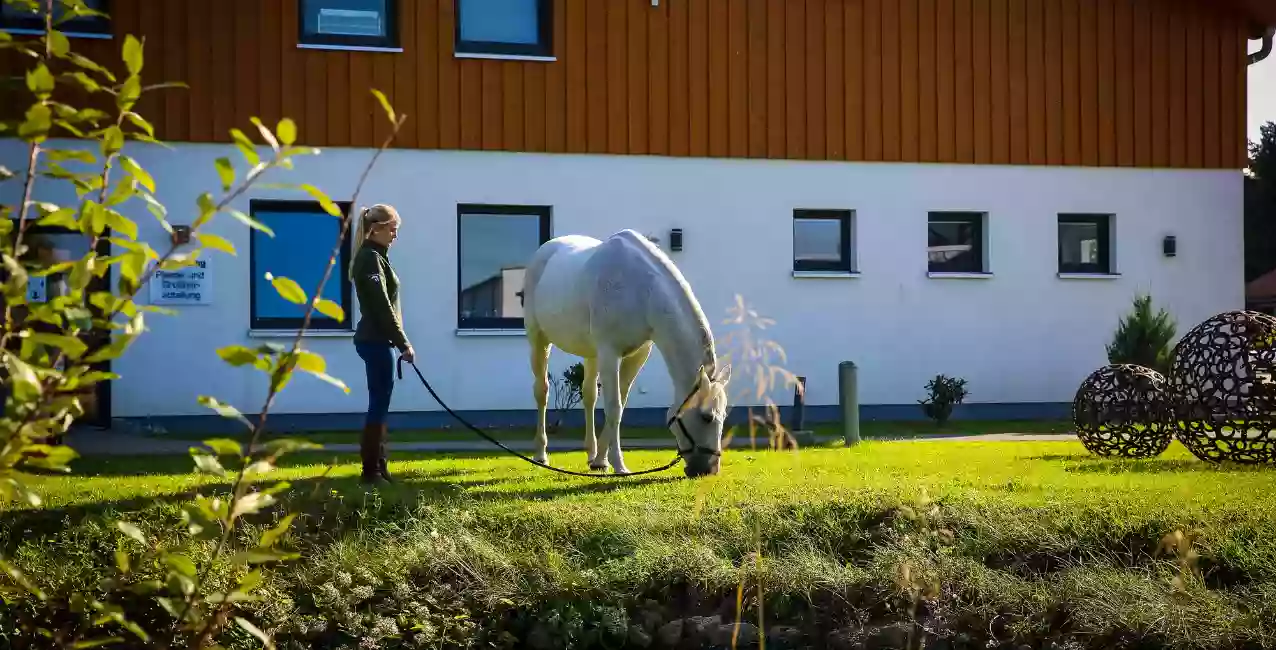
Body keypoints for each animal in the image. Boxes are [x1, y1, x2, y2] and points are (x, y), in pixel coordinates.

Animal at [523, 228, 734, 477]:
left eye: (724, 416)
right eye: (706, 417)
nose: (709, 470)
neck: (641, 291)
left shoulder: (636, 355)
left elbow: (620, 405)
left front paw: (602, 461)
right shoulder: (610, 353)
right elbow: (614, 407)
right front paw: (619, 465)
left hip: (591, 354)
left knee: (589, 395)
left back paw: (591, 454)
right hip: (539, 340)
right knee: (542, 392)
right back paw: (541, 454)